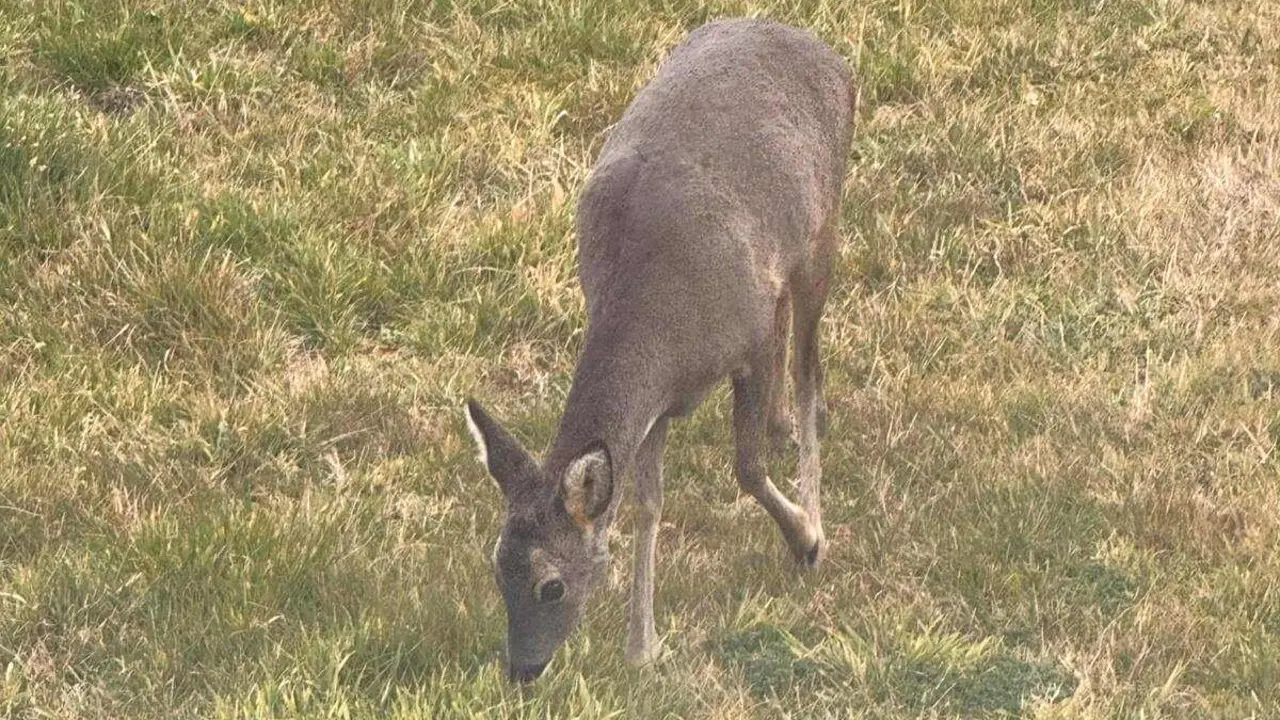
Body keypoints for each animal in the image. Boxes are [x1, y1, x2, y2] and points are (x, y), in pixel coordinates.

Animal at [465, 15, 855, 676]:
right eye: (495, 571)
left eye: (551, 585)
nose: (521, 671)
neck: (657, 320)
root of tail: (829, 55)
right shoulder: (661, 401)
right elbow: (646, 503)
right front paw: (642, 646)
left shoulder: (745, 339)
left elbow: (746, 467)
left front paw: (806, 538)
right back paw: (783, 426)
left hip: (821, 228)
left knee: (808, 370)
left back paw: (807, 458)